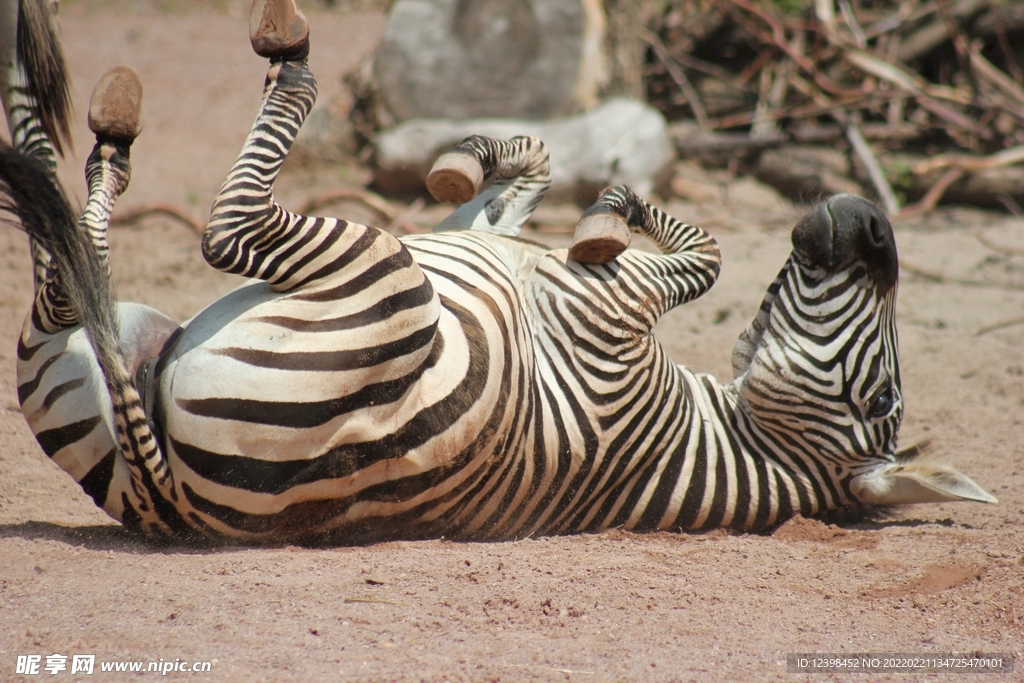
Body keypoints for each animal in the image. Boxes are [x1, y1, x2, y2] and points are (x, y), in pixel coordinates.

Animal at [0, 0, 991, 544]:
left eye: (882, 403)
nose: (876, 223)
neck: (713, 422)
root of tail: (168, 498)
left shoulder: (614, 308)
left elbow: (702, 261)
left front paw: (606, 221)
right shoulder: (485, 235)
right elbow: (533, 166)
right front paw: (508, 171)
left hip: (385, 283)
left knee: (223, 231)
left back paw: (264, 63)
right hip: (98, 355)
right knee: (64, 284)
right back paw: (94, 137)